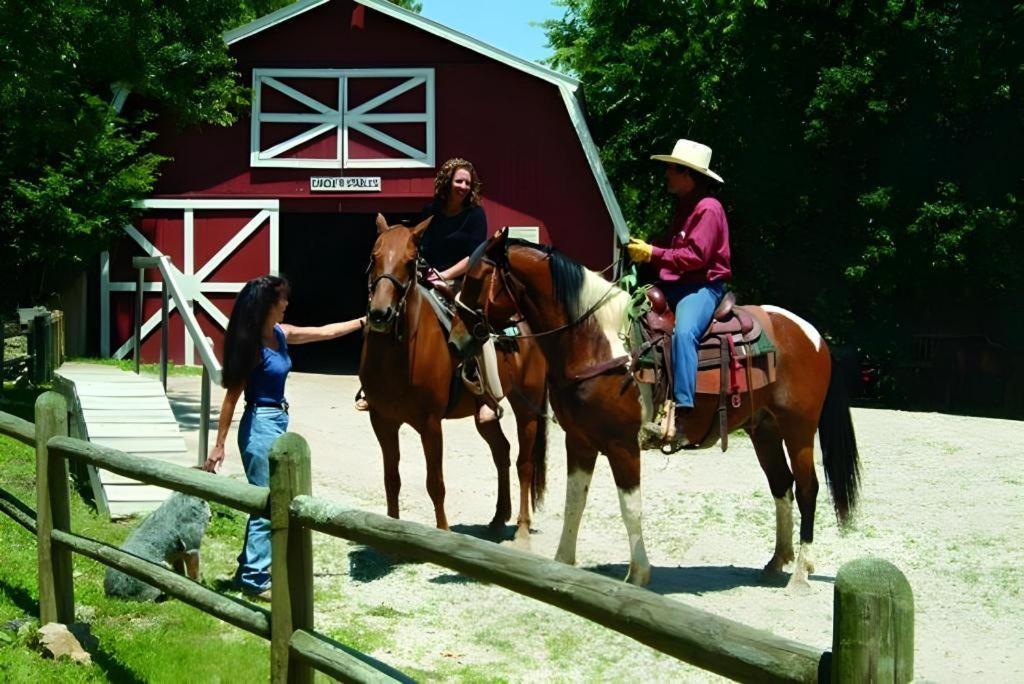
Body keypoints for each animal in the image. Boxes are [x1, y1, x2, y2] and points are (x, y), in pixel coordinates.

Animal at [362, 216, 552, 540]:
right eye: (373, 257)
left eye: (410, 262)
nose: (380, 314)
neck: (399, 355)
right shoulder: (382, 421)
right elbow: (391, 479)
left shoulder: (430, 424)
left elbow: (435, 483)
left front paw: (442, 532)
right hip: (484, 415)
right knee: (501, 452)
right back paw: (498, 518)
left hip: (527, 408)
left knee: (524, 464)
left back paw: (522, 528)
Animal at [452, 227, 860, 589]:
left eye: (476, 278)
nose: (456, 340)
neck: (596, 342)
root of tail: (813, 334)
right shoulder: (579, 441)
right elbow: (574, 501)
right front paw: (562, 563)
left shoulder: (622, 445)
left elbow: (630, 507)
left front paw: (638, 575)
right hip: (765, 429)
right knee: (781, 485)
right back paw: (777, 561)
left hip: (799, 430)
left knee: (807, 488)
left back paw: (800, 575)